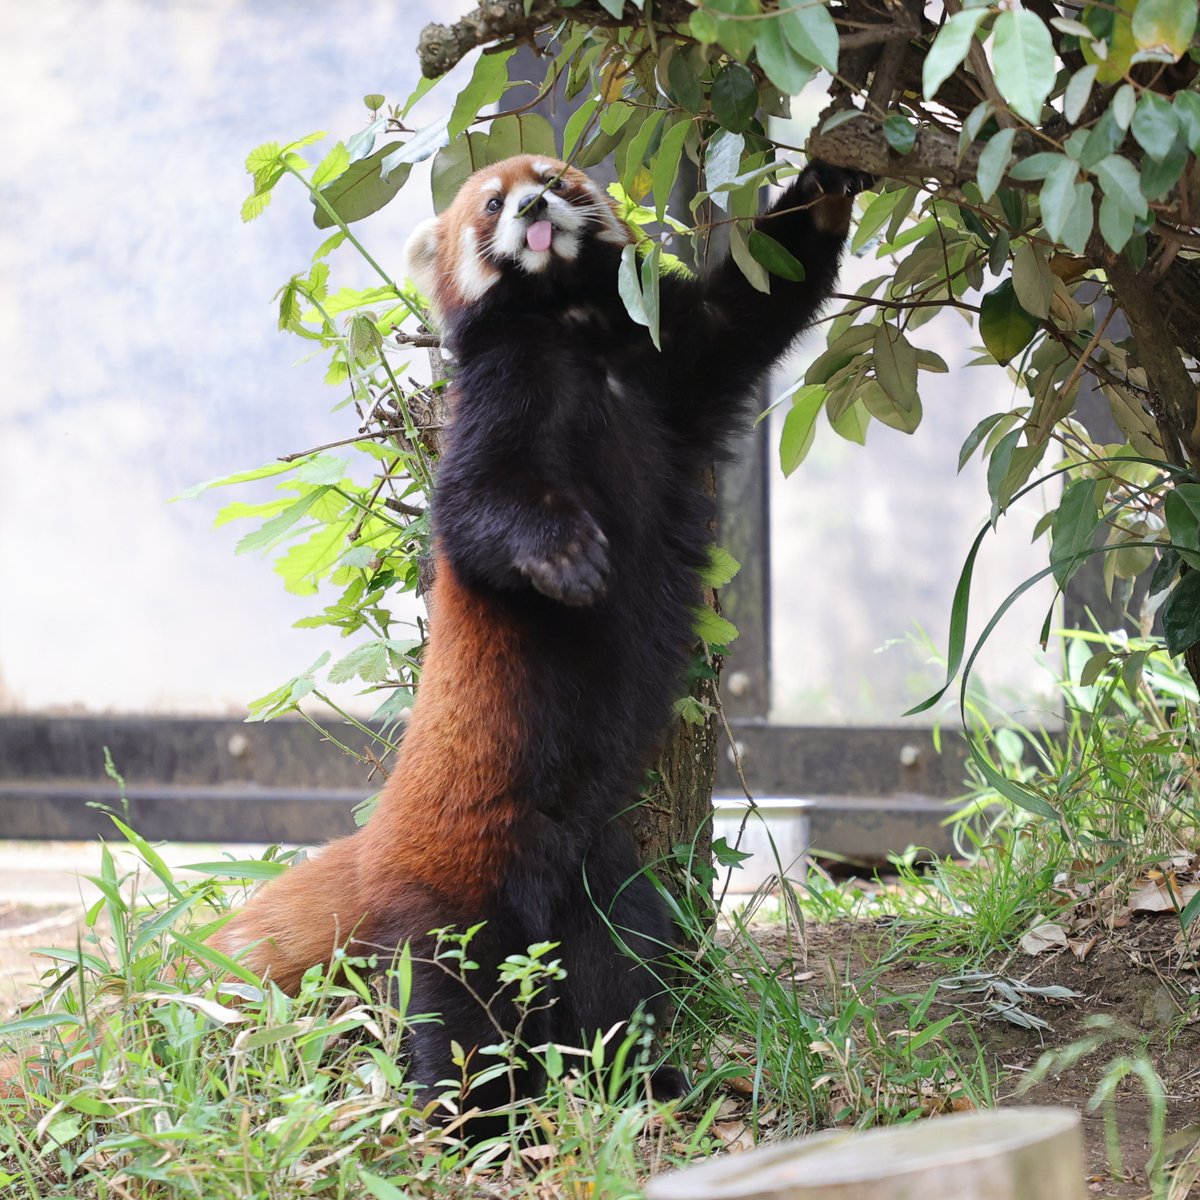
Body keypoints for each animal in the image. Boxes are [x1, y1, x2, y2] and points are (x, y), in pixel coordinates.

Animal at [206, 150, 864, 1123]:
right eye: (489, 204)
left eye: (554, 177)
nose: (530, 207)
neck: (573, 324)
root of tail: (375, 847)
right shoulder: (497, 401)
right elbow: (478, 509)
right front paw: (565, 559)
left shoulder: (670, 360)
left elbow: (755, 304)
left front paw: (829, 180)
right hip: (460, 897)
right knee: (458, 1007)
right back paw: (474, 1116)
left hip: (602, 882)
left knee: (616, 967)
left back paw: (643, 1079)